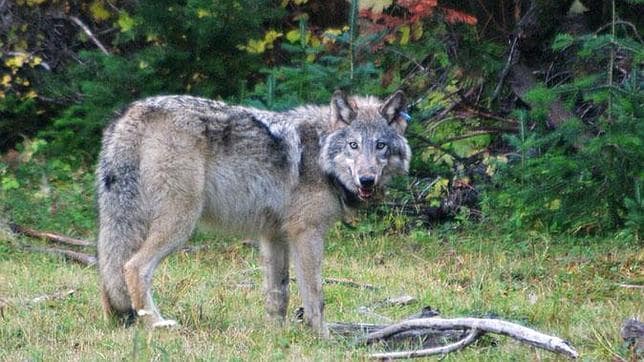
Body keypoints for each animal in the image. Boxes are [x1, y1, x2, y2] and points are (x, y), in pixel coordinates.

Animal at [97, 90, 410, 334]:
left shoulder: (274, 235)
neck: (321, 155)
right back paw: (157, 325)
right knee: (133, 267)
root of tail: (135, 110)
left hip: (127, 224)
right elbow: (315, 296)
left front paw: (276, 335)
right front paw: (323, 338)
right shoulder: (306, 233)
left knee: (110, 269)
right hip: (181, 224)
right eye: (353, 145)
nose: (366, 180)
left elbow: (278, 293)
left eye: (380, 146)